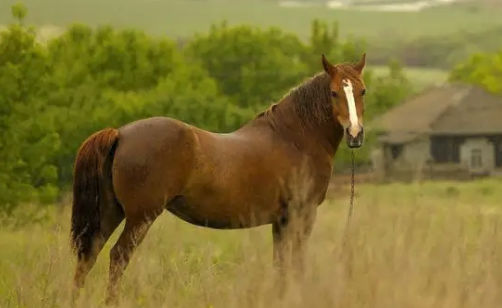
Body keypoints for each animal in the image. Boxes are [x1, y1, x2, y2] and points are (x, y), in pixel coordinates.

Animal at [70, 53, 366, 306]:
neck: (295, 137)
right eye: (334, 92)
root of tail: (120, 134)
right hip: (140, 218)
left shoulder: (281, 221)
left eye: (362, 91)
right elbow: (296, 263)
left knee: (88, 256)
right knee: (117, 257)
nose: (355, 134)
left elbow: (281, 264)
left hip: (111, 212)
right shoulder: (301, 214)